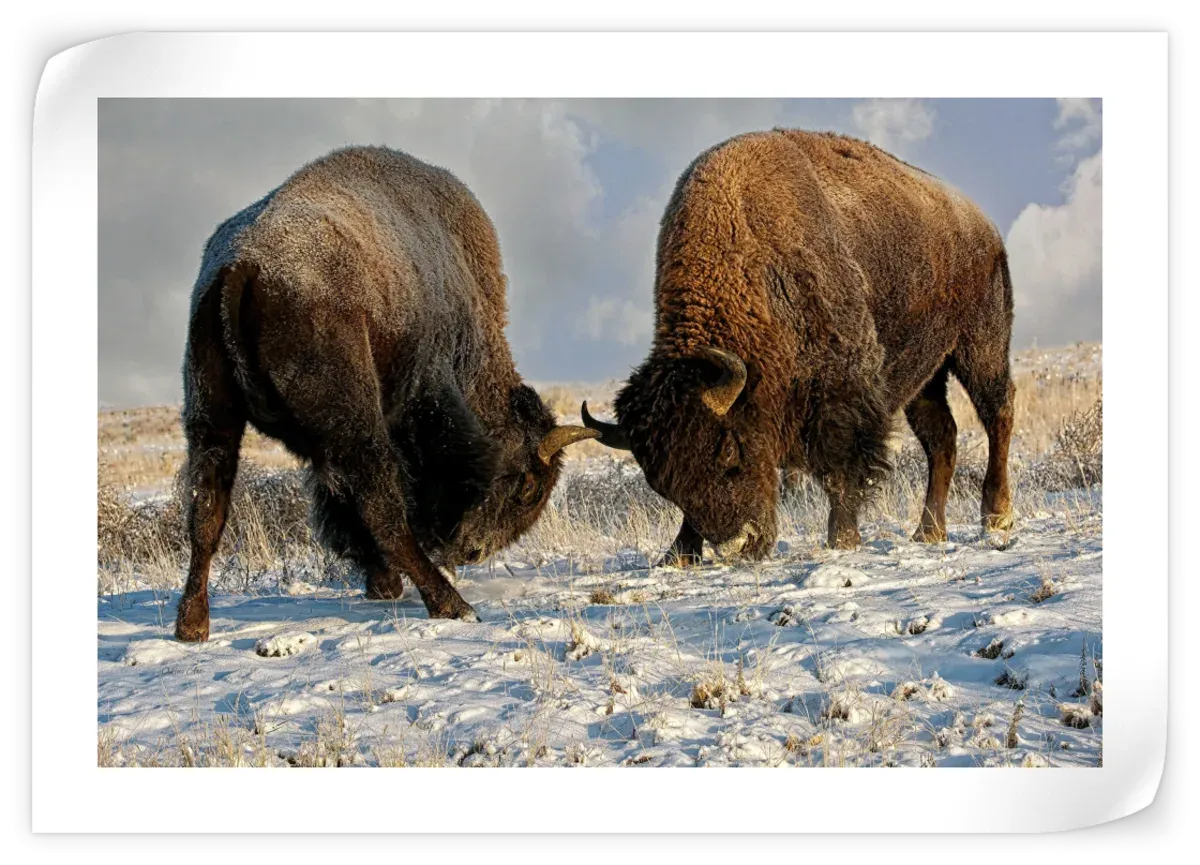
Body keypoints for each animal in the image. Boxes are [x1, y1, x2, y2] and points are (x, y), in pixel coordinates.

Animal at [171, 145, 597, 638]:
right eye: (528, 487)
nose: (473, 550)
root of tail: (243, 266)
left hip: (210, 416)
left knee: (206, 510)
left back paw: (192, 626)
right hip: (353, 427)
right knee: (383, 510)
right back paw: (452, 605)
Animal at [585, 126, 1017, 559]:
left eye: (730, 451)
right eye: (662, 485)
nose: (740, 544)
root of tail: (983, 225)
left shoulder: (844, 392)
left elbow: (841, 469)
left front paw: (842, 539)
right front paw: (678, 554)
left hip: (980, 346)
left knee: (998, 412)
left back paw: (996, 515)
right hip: (926, 375)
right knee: (941, 438)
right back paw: (928, 531)